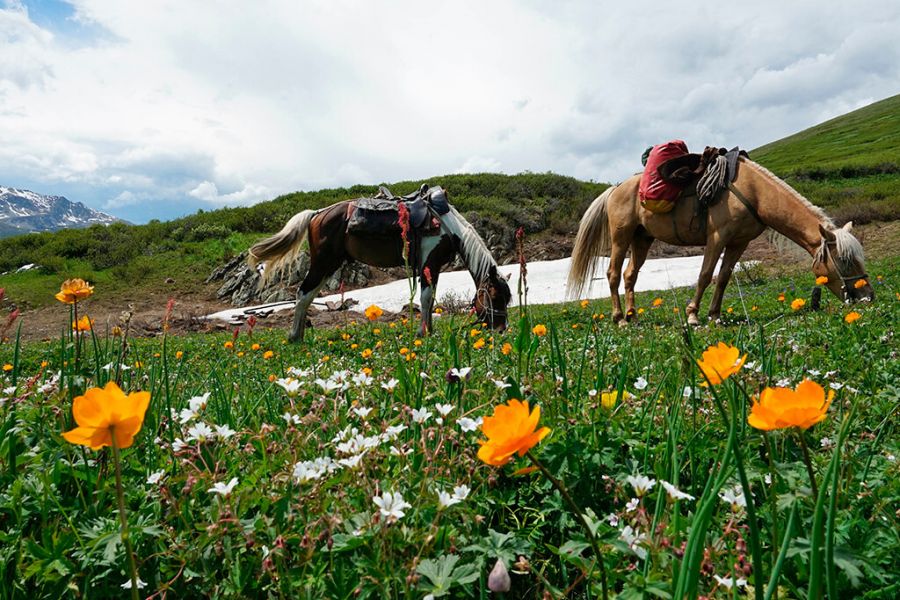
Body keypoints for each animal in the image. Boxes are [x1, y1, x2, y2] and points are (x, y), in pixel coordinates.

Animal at [250, 195, 510, 340]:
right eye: (495, 296)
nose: (501, 329)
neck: (448, 227)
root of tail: (316, 214)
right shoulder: (429, 264)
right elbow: (426, 299)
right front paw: (423, 333)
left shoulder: (432, 268)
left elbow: (430, 299)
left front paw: (428, 331)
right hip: (323, 263)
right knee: (303, 294)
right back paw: (295, 336)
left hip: (328, 265)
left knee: (308, 296)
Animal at [568, 156, 872, 324]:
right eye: (844, 260)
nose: (867, 297)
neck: (754, 193)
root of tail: (614, 189)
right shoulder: (717, 237)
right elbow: (705, 275)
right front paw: (693, 315)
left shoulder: (739, 243)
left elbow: (724, 277)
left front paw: (715, 314)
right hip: (621, 237)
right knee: (613, 273)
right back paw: (620, 318)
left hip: (642, 239)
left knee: (630, 275)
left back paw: (633, 316)